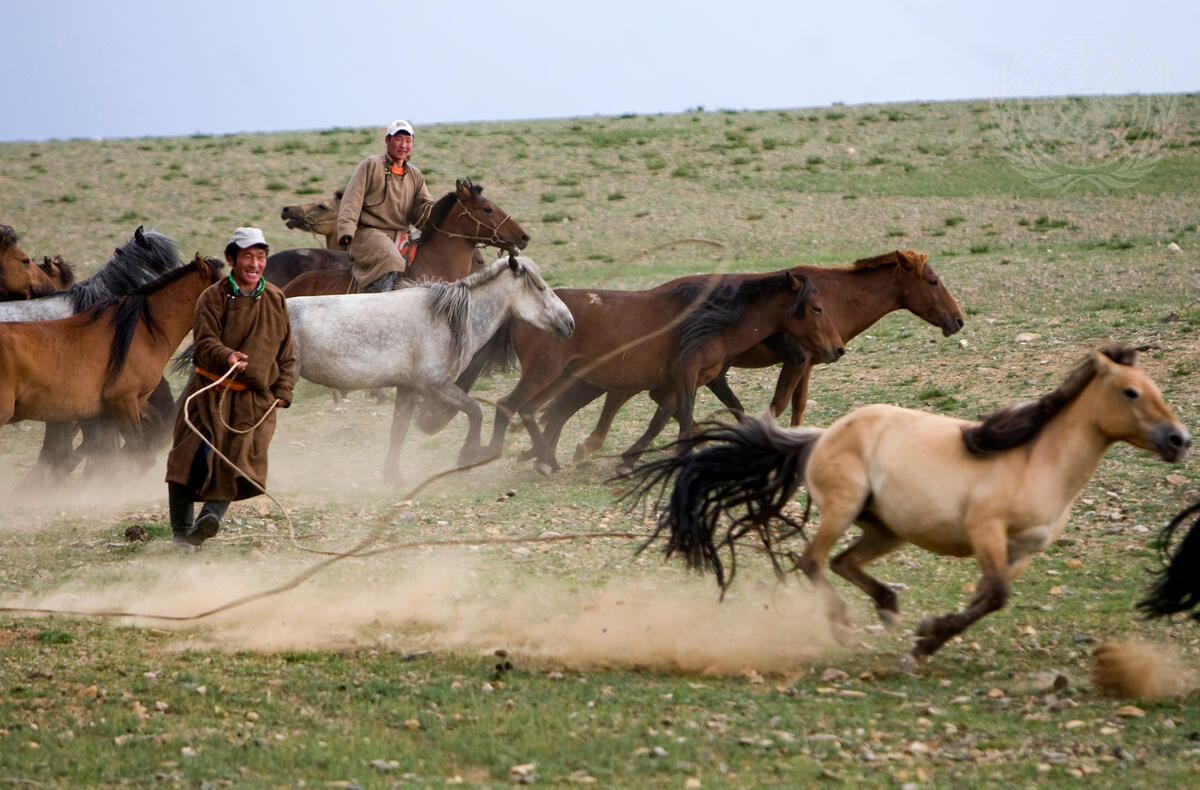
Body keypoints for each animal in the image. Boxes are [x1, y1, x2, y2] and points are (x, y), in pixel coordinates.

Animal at [286, 255, 573, 483]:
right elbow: (475, 411)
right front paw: (468, 456)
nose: (569, 323)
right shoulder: (435, 386)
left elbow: (399, 430)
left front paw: (393, 477)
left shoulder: (408, 388)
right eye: (540, 287)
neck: (446, 319)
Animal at [486, 270, 846, 475]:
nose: (837, 349)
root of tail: (520, 315)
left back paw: (545, 458)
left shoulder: (678, 383)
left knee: (535, 410)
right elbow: (685, 420)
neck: (711, 322)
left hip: (561, 377)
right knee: (511, 405)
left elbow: (661, 421)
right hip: (545, 373)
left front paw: (630, 459)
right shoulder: (686, 376)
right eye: (817, 309)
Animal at [566, 249, 965, 464]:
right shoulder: (796, 360)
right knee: (620, 395)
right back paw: (590, 446)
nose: (957, 320)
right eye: (932, 281)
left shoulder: (809, 363)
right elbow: (779, 403)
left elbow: (798, 404)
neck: (836, 297)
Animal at [620, 345, 1190, 667]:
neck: (1036, 462)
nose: (1179, 440)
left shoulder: (1024, 549)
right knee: (812, 560)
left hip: (886, 528)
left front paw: (926, 640)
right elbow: (995, 594)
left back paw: (888, 606)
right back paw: (844, 622)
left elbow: (989, 597)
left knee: (843, 562)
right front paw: (927, 637)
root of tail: (822, 436)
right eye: (1131, 392)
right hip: (842, 509)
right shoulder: (986, 532)